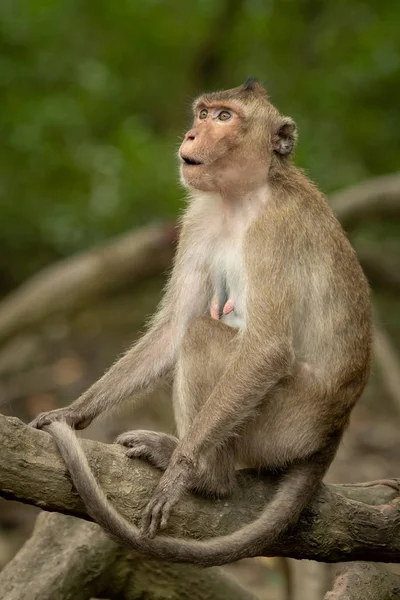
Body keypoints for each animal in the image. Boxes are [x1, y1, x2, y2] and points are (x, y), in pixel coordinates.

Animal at [30, 78, 372, 568]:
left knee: (206, 336)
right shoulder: (199, 218)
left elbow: (265, 348)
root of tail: (335, 427)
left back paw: (209, 476)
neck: (243, 198)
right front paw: (72, 412)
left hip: (285, 425)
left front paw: (180, 472)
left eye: (225, 118)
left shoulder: (276, 232)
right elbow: (174, 325)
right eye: (204, 113)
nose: (192, 134)